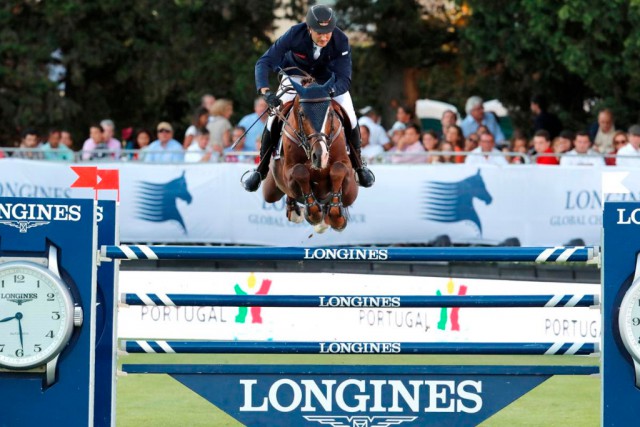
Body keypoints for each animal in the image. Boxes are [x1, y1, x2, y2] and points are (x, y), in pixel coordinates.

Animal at [262, 75, 358, 232]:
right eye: (302, 114)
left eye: (330, 113)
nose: (320, 156)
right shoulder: (288, 172)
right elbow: (300, 171)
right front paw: (313, 214)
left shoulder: (348, 178)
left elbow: (338, 169)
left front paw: (336, 218)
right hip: (271, 190)